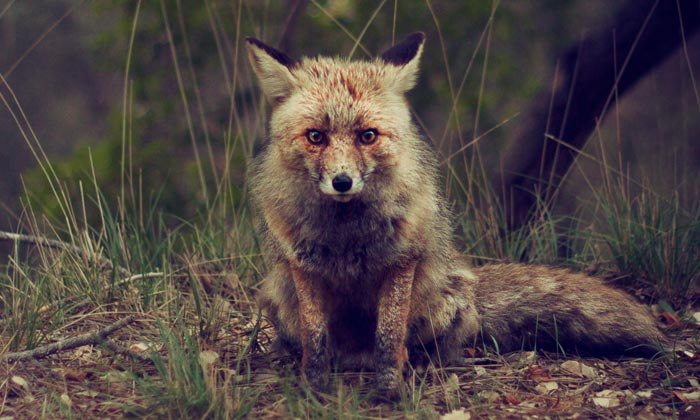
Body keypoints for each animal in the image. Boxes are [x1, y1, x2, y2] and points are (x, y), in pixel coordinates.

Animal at [245, 32, 670, 397]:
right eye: (316, 136)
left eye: (368, 136)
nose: (343, 182)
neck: (346, 236)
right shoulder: (303, 264)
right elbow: (315, 339)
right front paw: (313, 387)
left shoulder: (402, 260)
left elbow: (388, 334)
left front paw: (391, 390)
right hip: (278, 302)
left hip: (444, 307)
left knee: (437, 347)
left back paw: (422, 363)